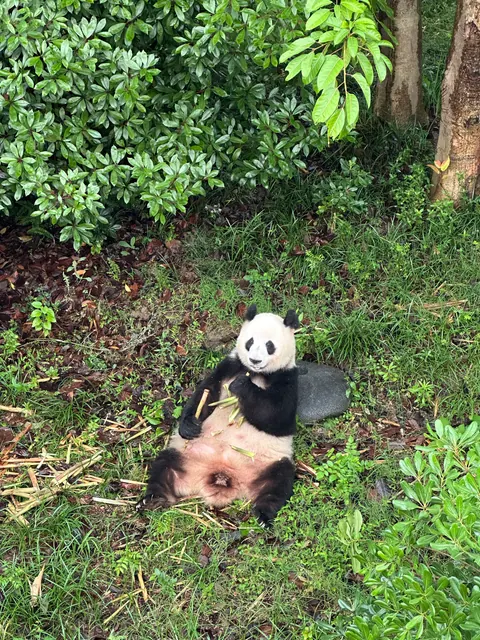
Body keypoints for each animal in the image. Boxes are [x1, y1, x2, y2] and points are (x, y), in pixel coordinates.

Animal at [138, 304, 299, 526]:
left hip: (268, 463)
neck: (256, 373)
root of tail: (222, 478)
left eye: (270, 346)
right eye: (250, 342)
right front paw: (190, 425)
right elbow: (205, 393)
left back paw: (263, 514)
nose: (255, 360)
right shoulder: (230, 366)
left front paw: (242, 386)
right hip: (185, 455)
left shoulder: (288, 379)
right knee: (164, 466)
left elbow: (277, 417)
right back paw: (154, 499)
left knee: (279, 481)